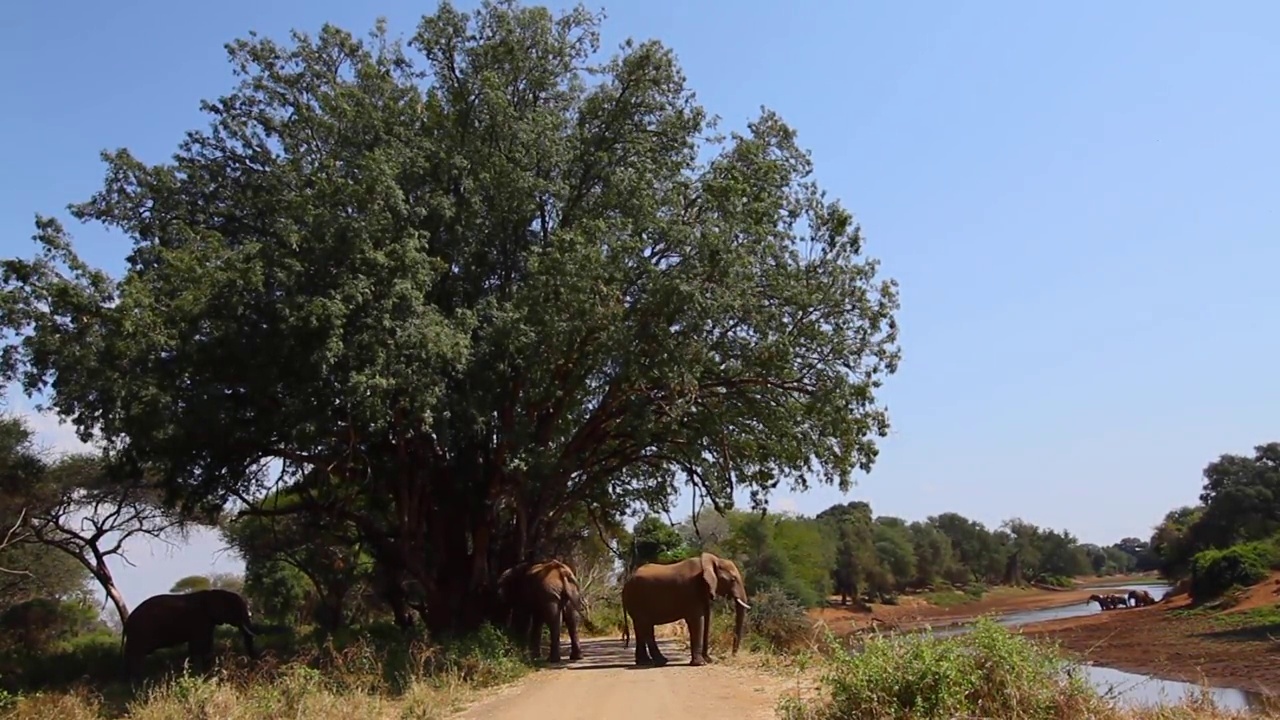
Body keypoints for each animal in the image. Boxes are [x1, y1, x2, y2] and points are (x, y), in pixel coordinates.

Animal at [121, 584, 259, 676]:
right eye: (235, 610)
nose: (254, 664)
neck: (212, 593)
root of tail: (127, 622)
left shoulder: (208, 622)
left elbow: (207, 645)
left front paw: (207, 672)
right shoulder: (199, 620)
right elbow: (197, 646)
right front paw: (198, 674)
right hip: (139, 633)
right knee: (135, 656)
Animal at [619, 550, 747, 666]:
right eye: (733, 579)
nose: (733, 655)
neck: (711, 561)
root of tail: (626, 584)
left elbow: (706, 618)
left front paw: (708, 660)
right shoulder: (691, 590)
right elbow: (697, 620)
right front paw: (700, 663)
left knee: (640, 628)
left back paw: (644, 662)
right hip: (638, 600)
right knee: (645, 627)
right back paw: (660, 661)